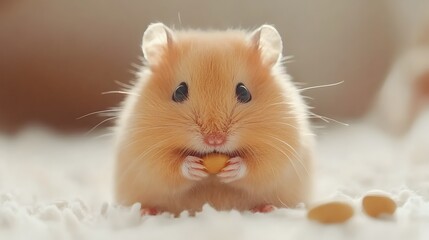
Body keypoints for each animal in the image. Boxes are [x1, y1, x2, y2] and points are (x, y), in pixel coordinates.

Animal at [113, 23, 314, 216]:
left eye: (244, 92)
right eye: (179, 92)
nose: (214, 140)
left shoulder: (282, 144)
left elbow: (261, 164)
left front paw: (233, 168)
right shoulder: (144, 149)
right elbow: (165, 166)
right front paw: (193, 166)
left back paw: (266, 208)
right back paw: (148, 211)